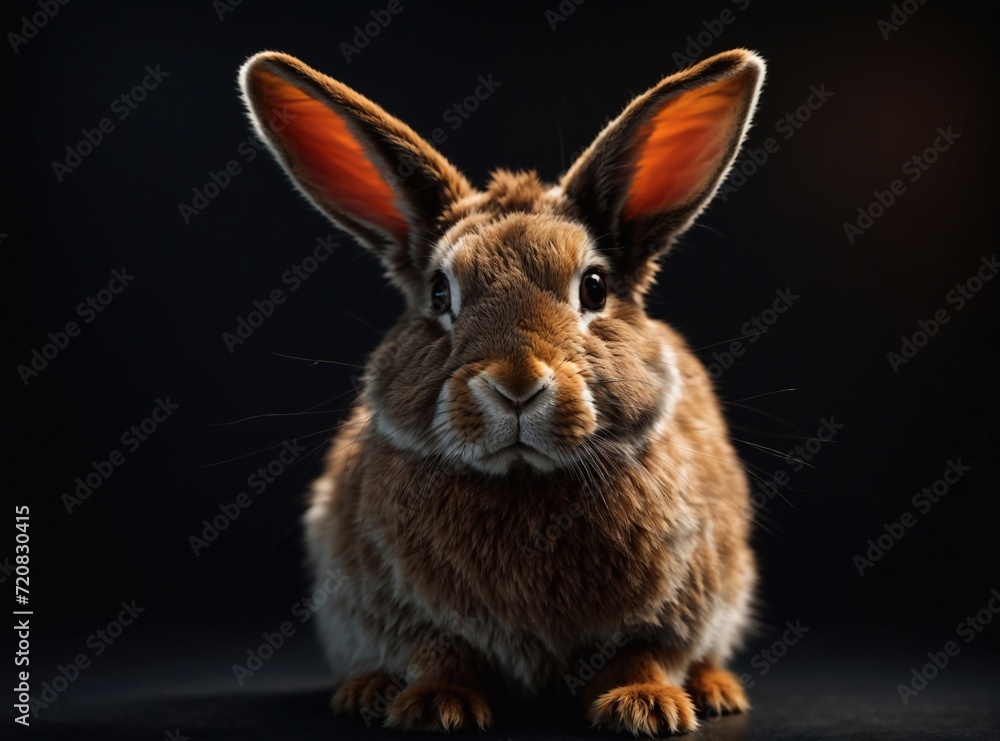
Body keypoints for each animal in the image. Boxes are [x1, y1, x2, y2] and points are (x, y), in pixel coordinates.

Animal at [239, 47, 765, 736]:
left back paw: (716, 689)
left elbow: (646, 653)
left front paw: (646, 707)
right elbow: (440, 653)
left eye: (594, 287)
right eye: (440, 292)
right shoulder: (406, 614)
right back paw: (366, 691)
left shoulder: (680, 604)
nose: (516, 385)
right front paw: (434, 706)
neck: (523, 478)